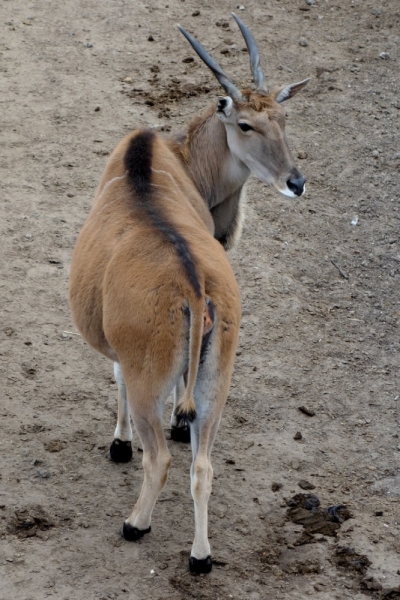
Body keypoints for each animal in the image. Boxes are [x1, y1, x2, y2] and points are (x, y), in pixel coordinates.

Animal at [69, 14, 310, 576]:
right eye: (247, 125)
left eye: (283, 119)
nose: (296, 182)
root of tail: (197, 290)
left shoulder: (129, 362)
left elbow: (116, 376)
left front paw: (119, 442)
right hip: (218, 379)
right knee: (203, 464)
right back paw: (201, 555)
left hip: (149, 384)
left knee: (159, 459)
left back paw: (136, 523)